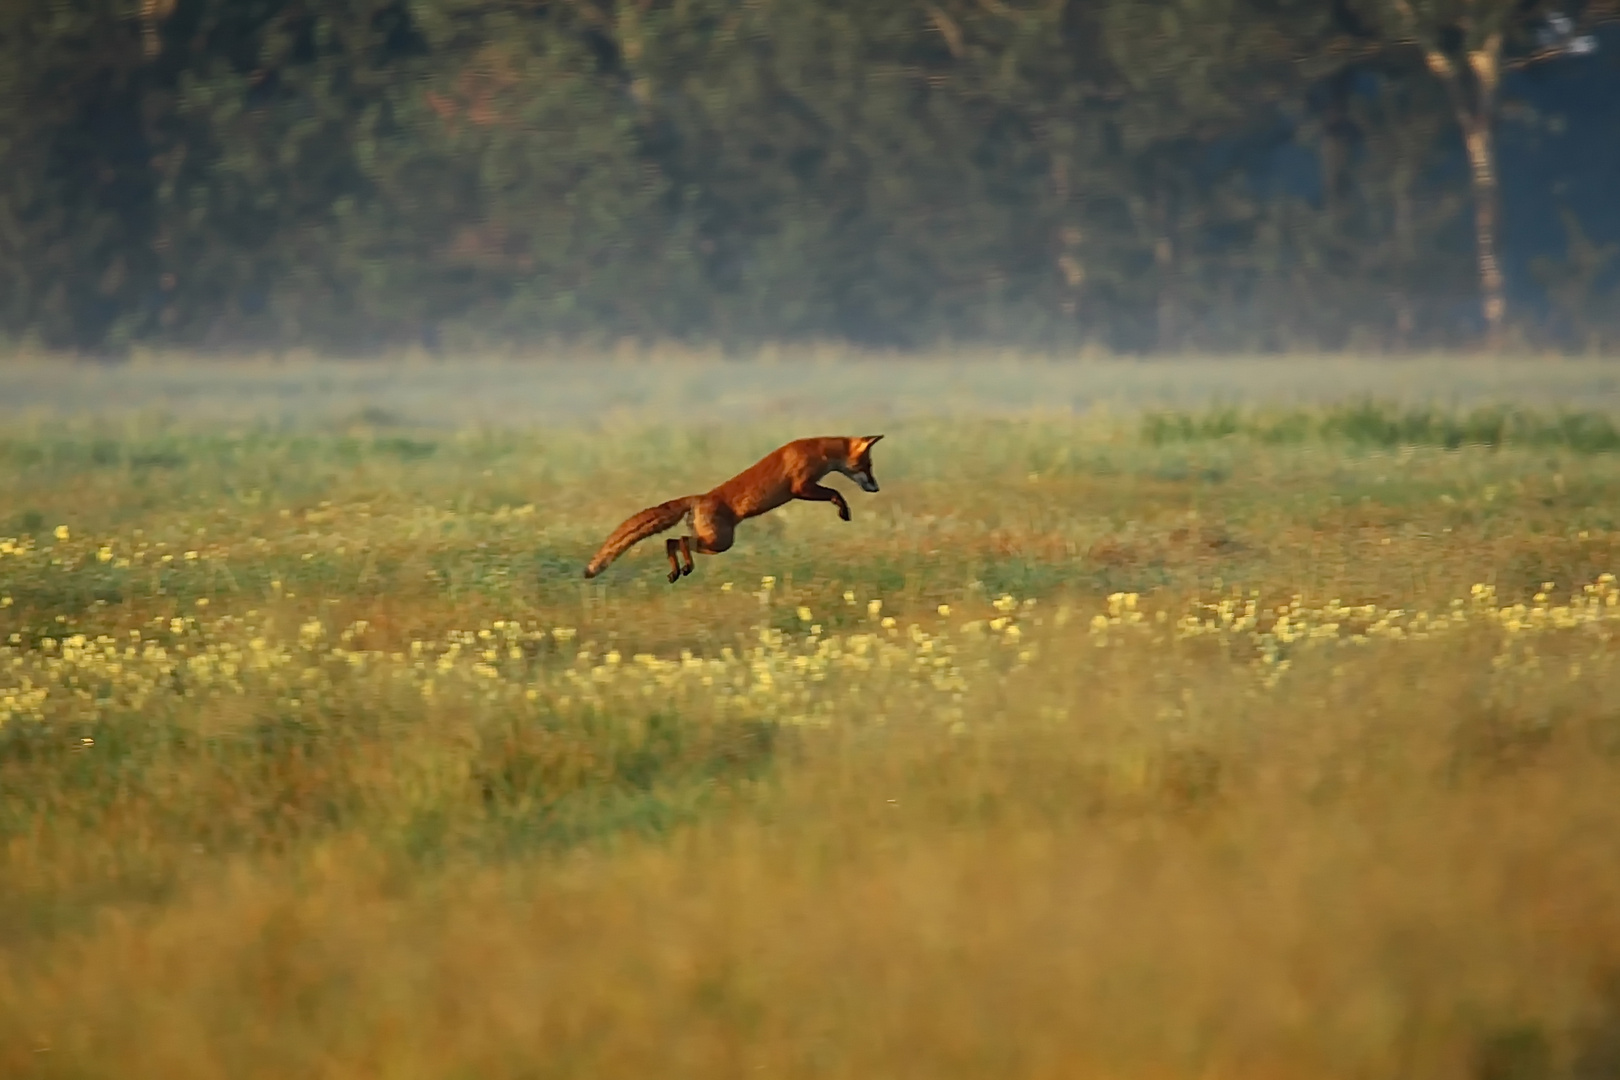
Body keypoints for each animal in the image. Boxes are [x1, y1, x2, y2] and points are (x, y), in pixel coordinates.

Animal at [583, 433, 887, 582]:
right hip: (720, 542)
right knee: (679, 540)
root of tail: (700, 497)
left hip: (714, 542)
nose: (876, 488)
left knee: (671, 541)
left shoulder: (806, 488)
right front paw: (843, 509)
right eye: (868, 466)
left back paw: (676, 571)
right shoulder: (801, 487)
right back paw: (684, 567)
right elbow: (835, 493)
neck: (819, 450)